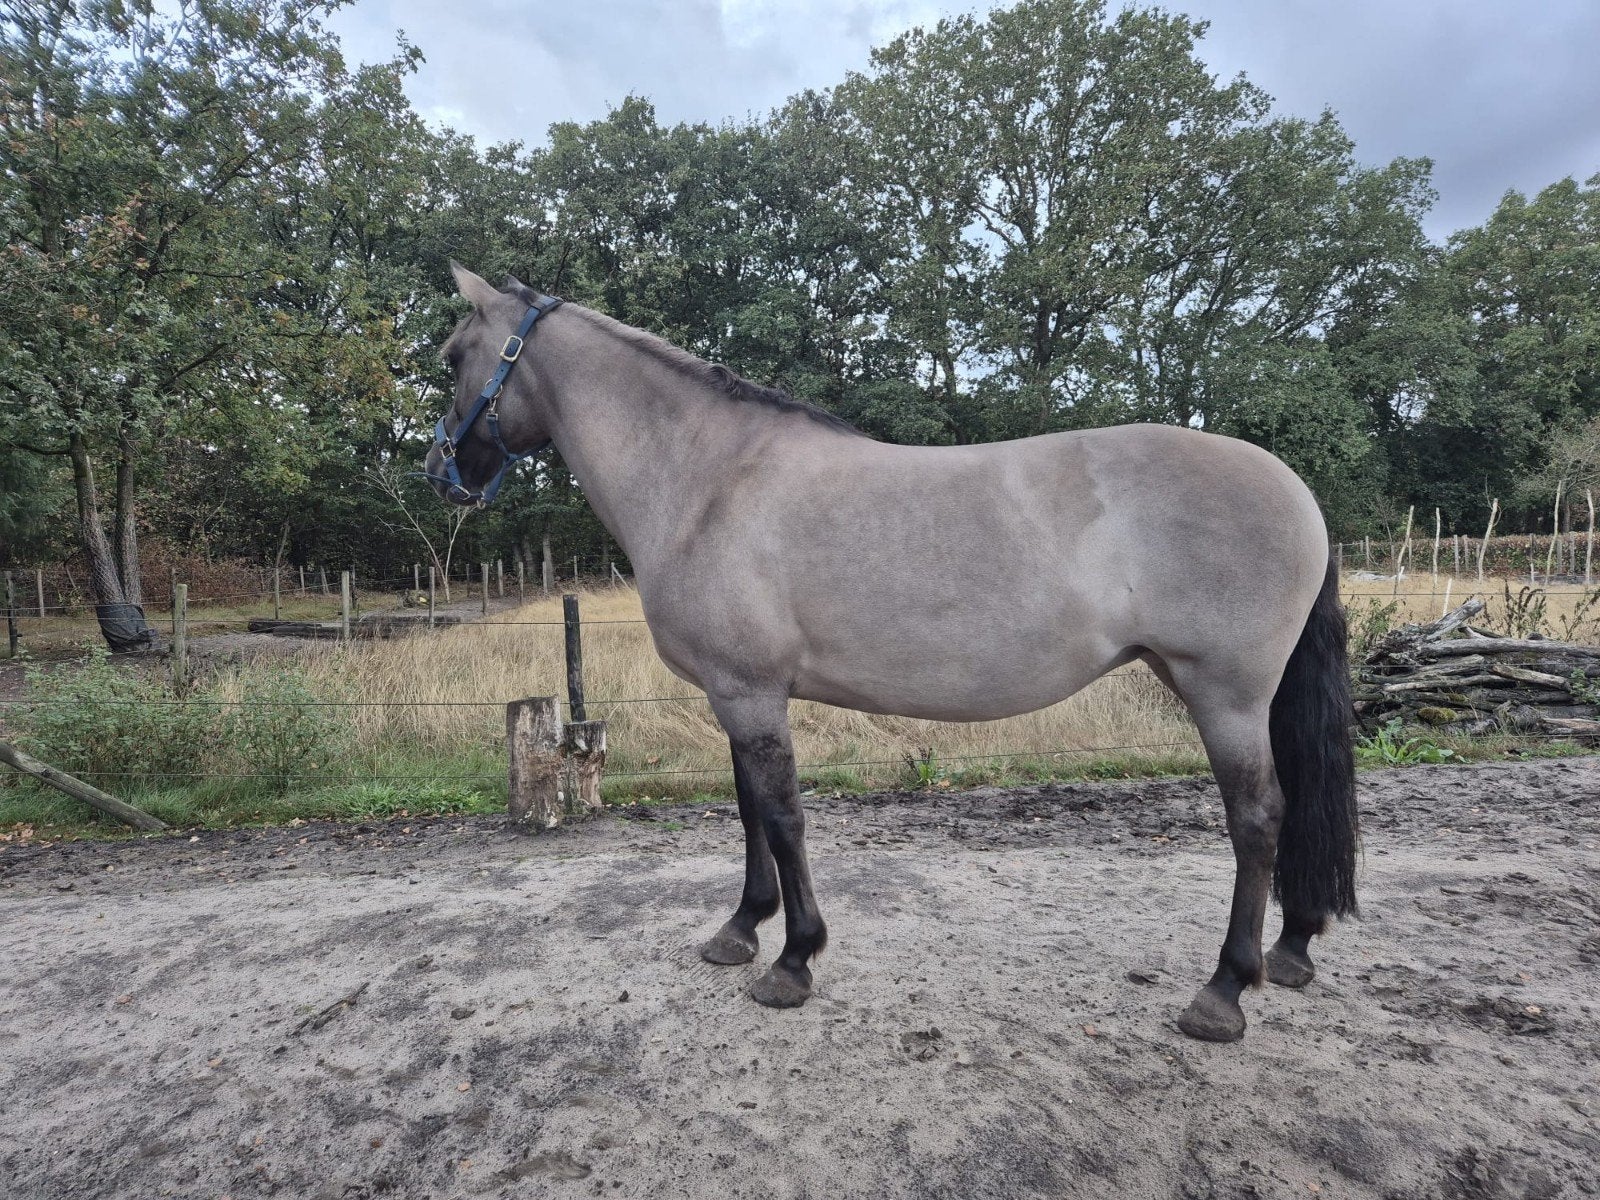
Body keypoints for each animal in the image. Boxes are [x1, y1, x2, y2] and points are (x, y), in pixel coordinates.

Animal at [424, 264, 1359, 1043]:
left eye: (452, 356)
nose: (443, 470)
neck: (709, 479)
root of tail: (1297, 490)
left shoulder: (750, 692)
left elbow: (783, 817)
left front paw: (793, 960)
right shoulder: (738, 693)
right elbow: (750, 813)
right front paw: (740, 930)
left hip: (1226, 694)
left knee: (1259, 818)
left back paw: (1224, 991)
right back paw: (1293, 949)